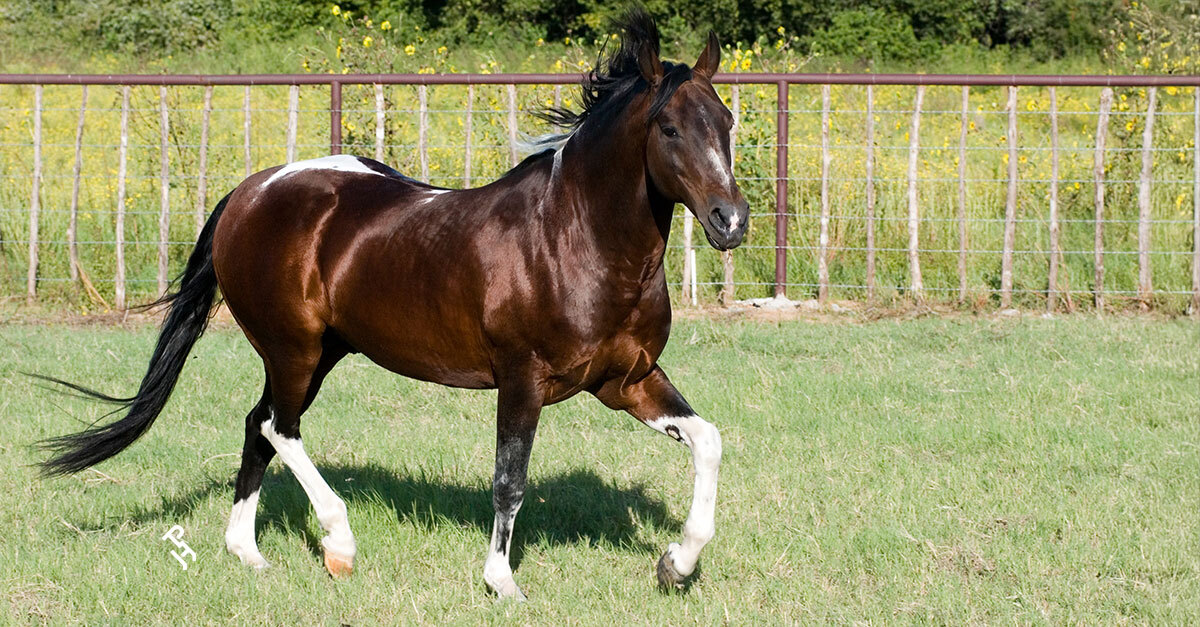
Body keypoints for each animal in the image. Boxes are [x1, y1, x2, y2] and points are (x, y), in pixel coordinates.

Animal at [37, 9, 749, 600]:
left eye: (727, 121)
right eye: (668, 127)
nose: (731, 221)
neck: (575, 239)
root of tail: (249, 191)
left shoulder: (625, 380)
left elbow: (709, 441)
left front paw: (674, 565)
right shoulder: (522, 379)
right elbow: (509, 480)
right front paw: (502, 584)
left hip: (319, 353)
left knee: (257, 425)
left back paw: (249, 553)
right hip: (293, 349)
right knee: (278, 428)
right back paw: (339, 546)